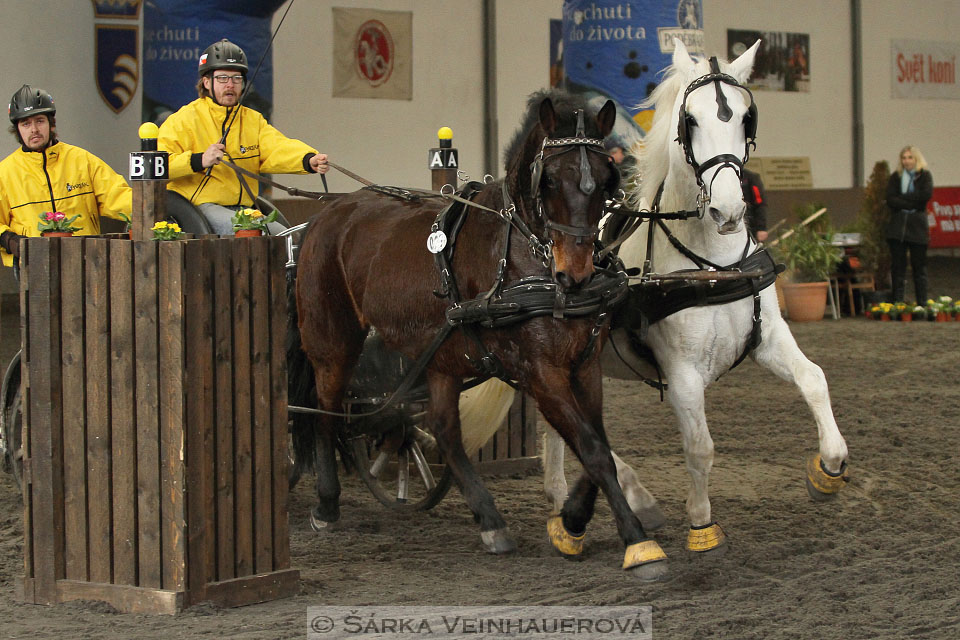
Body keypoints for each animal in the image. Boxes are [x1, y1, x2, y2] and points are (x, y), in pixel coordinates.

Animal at [290, 91, 668, 580]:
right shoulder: (539, 371)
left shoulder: (583, 364)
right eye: (548, 179)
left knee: (444, 429)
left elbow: (598, 444)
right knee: (326, 411)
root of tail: (327, 213)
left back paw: (490, 522)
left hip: (439, 357)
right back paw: (327, 504)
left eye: (607, 178)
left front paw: (571, 524)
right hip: (333, 340)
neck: (523, 255)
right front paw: (639, 545)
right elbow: (591, 447)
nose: (576, 274)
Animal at [544, 41, 852, 556]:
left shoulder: (769, 338)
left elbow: (814, 379)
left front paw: (827, 470)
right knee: (565, 425)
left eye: (747, 116)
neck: (711, 266)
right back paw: (621, 497)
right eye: (690, 120)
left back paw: (564, 499)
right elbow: (701, 446)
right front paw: (702, 524)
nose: (728, 209)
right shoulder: (683, 373)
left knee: (555, 426)